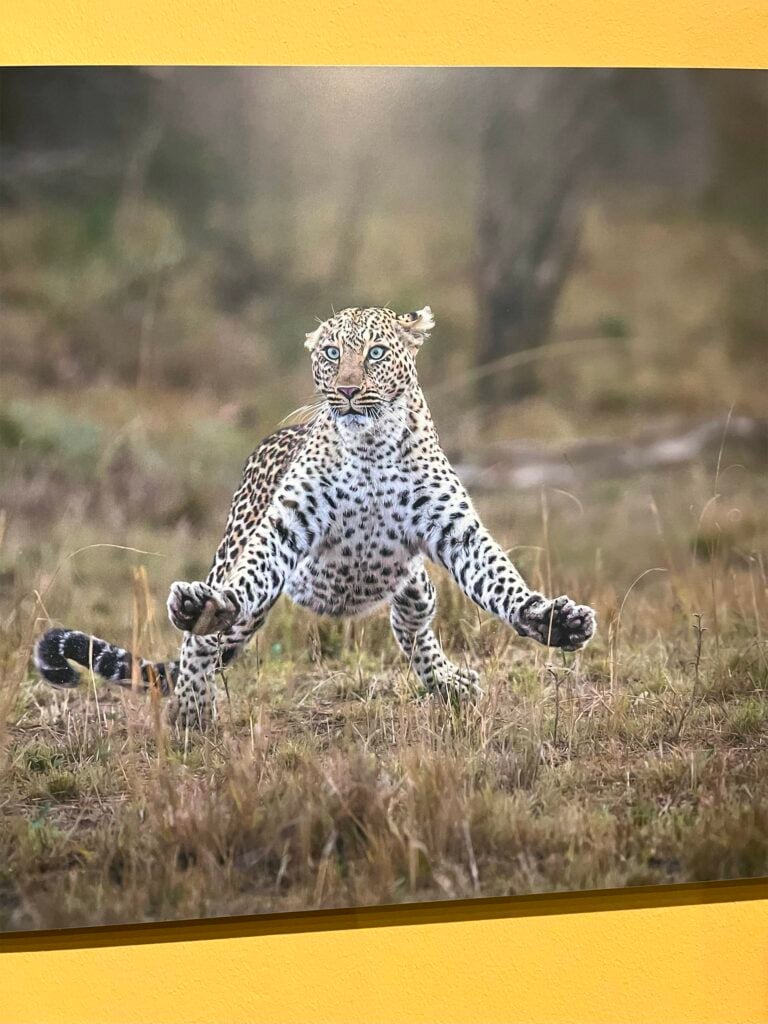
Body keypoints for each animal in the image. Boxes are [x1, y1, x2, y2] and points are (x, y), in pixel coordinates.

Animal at [34, 303, 602, 729]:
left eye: (375, 353)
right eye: (332, 353)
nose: (347, 390)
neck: (371, 447)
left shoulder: (455, 530)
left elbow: (500, 579)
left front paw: (553, 619)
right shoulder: (285, 526)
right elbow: (246, 579)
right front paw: (207, 620)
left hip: (414, 584)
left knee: (410, 624)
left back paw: (448, 682)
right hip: (241, 574)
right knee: (205, 640)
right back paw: (192, 706)